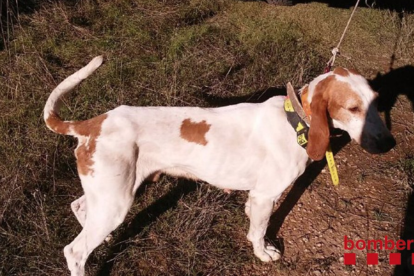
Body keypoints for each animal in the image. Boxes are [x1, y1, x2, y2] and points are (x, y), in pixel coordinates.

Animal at [43, 55, 396, 274]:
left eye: (376, 102)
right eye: (353, 108)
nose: (389, 143)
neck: (295, 121)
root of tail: (90, 123)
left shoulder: (257, 197)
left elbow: (253, 221)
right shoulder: (266, 196)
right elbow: (259, 232)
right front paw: (263, 253)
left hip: (106, 193)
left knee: (80, 207)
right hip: (116, 201)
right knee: (74, 252)